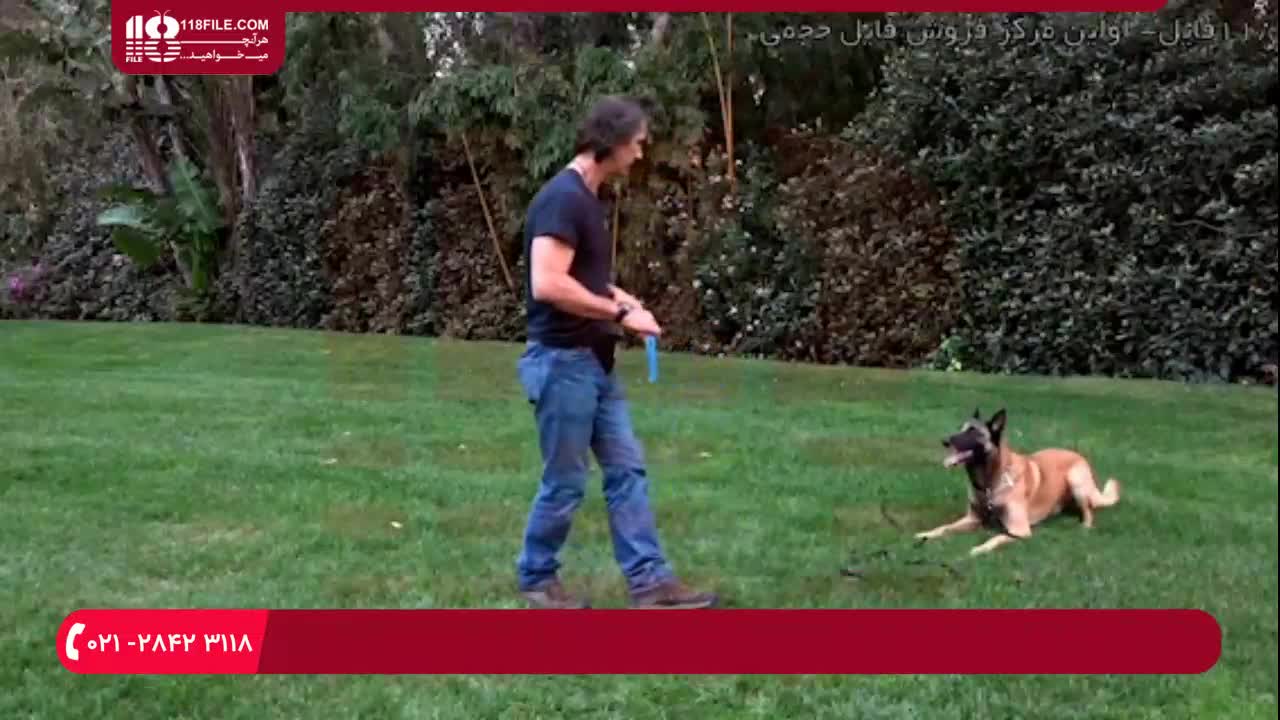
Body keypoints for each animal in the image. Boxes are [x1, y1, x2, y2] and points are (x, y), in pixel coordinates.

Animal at [914, 408, 1121, 556]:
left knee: (1089, 511)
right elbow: (945, 527)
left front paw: (979, 549)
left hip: (1076, 481)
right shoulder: (972, 519)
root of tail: (1078, 455)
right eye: (960, 428)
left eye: (973, 432)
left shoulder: (1019, 530)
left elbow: (995, 538)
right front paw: (927, 534)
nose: (945, 441)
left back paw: (1085, 527)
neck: (990, 484)